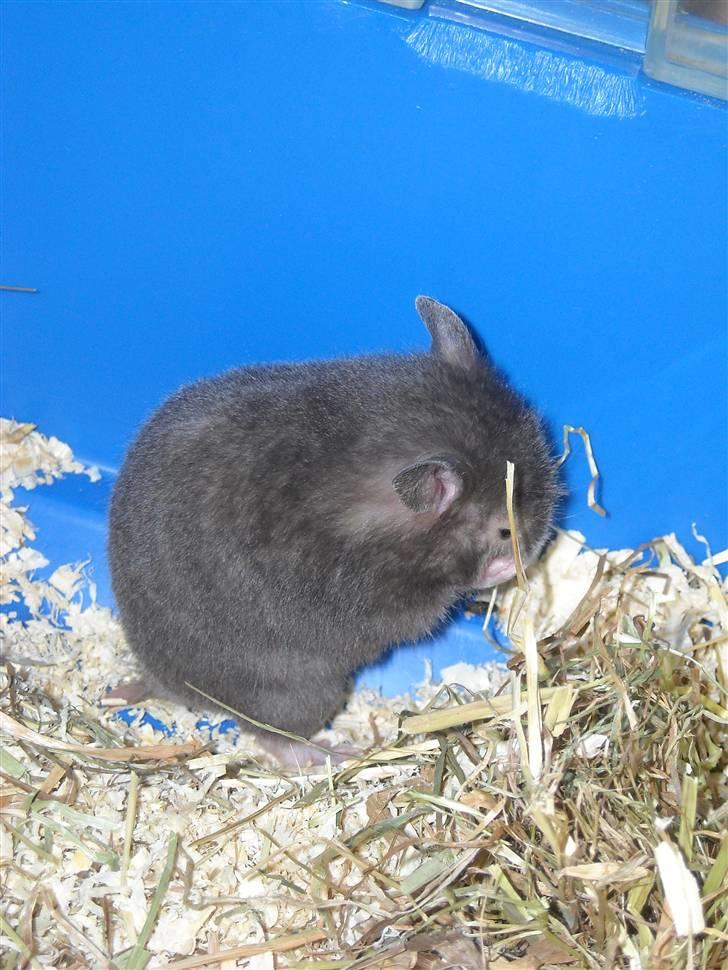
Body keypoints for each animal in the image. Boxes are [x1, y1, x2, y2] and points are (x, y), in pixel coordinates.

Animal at [108, 297, 558, 755]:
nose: (543, 546)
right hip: (303, 693)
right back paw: (335, 752)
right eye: (505, 530)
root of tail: (159, 682)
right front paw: (504, 567)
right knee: (273, 739)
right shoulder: (384, 601)